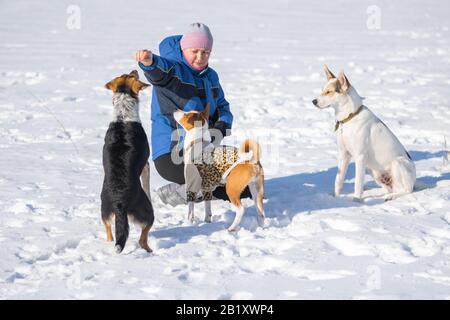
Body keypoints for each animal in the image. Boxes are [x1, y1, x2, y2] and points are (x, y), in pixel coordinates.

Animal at [101, 69, 154, 252]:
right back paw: (149, 250)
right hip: (147, 212)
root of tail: (119, 203)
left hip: (104, 211)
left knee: (109, 231)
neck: (122, 116)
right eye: (133, 76)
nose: (135, 69)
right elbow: (147, 184)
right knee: (143, 237)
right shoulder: (146, 165)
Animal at [312, 65, 414, 201]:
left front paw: (356, 200)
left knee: (406, 190)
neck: (349, 118)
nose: (313, 101)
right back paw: (386, 194)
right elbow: (338, 180)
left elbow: (358, 182)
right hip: (373, 171)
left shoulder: (360, 157)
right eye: (322, 90)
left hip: (398, 163)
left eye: (329, 92)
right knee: (391, 188)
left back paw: (391, 197)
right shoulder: (344, 155)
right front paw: (336, 198)